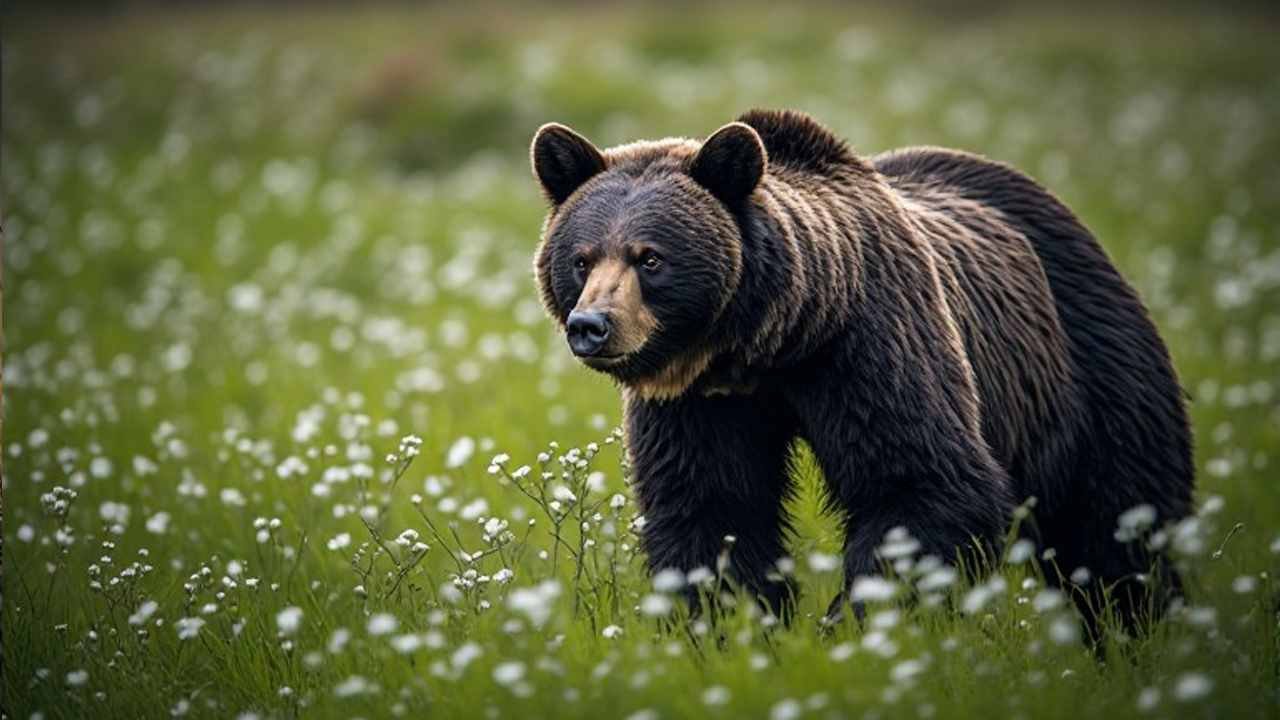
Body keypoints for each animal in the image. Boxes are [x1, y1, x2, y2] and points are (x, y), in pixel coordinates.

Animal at [528, 108, 1194, 640]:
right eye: (581, 259)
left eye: (650, 258)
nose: (591, 325)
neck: (771, 344)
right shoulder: (701, 403)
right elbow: (710, 508)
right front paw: (729, 628)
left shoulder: (870, 348)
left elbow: (919, 482)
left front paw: (851, 628)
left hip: (1091, 364)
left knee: (1119, 526)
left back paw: (1143, 635)